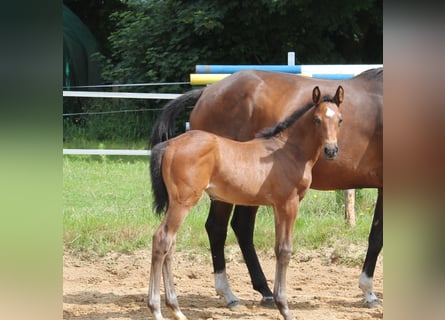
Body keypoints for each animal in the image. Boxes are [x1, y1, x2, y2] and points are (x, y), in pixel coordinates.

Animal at [150, 67, 382, 308]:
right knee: (211, 229)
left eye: (341, 120)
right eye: (317, 120)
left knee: (236, 228)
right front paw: (369, 292)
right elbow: (376, 237)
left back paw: (261, 291)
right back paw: (231, 294)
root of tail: (206, 92)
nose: (332, 150)